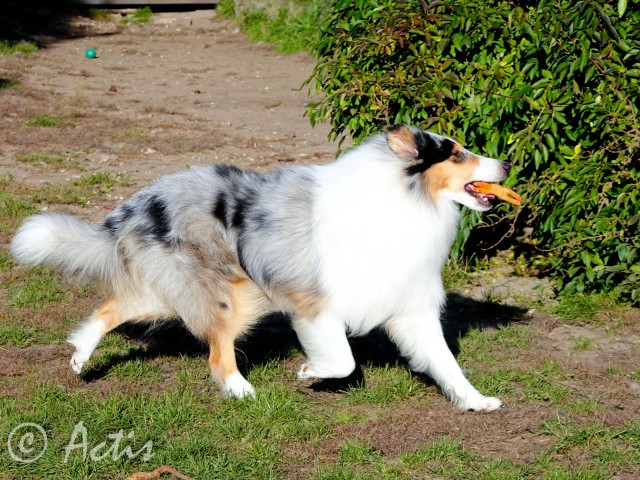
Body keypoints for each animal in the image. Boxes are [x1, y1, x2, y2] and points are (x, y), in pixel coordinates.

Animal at [10, 125, 510, 410]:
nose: (505, 163)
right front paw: (310, 373)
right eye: (457, 154)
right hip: (229, 296)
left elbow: (446, 362)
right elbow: (343, 360)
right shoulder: (316, 302)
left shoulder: (411, 309)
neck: (408, 201)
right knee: (216, 352)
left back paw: (80, 357)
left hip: (184, 289)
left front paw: (476, 401)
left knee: (111, 308)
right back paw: (239, 390)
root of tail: (138, 203)